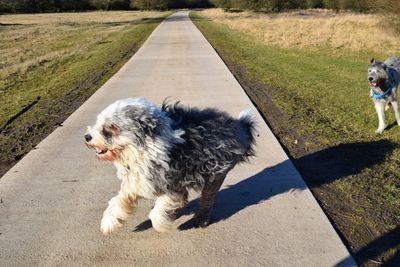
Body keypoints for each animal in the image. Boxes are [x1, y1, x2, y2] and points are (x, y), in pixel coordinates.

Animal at [83, 98, 256, 234]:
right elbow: (117, 200)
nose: (87, 137)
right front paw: (109, 222)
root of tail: (239, 125)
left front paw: (161, 224)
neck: (141, 149)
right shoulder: (138, 181)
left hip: (215, 174)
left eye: (111, 127)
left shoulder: (174, 184)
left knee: (207, 199)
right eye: (99, 123)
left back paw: (201, 219)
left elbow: (160, 209)